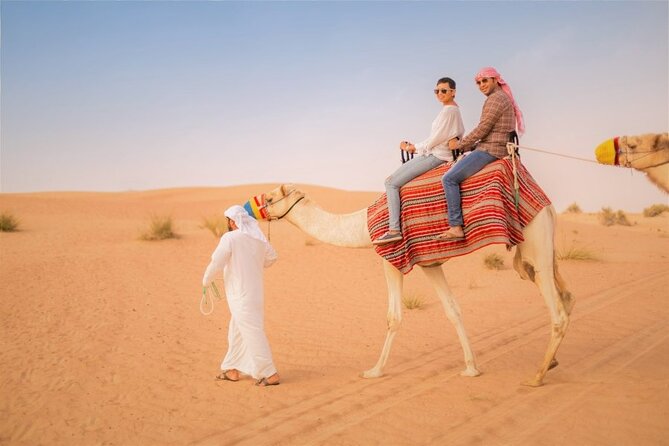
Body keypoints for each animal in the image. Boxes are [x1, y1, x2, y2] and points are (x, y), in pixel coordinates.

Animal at [258, 181, 573, 387]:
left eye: (271, 198)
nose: (256, 206)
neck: (363, 226)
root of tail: (549, 206)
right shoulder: (429, 264)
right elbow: (453, 310)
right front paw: (471, 368)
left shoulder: (391, 259)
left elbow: (394, 317)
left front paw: (374, 371)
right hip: (538, 252)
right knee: (566, 295)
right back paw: (553, 362)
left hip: (535, 243)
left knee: (557, 310)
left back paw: (537, 376)